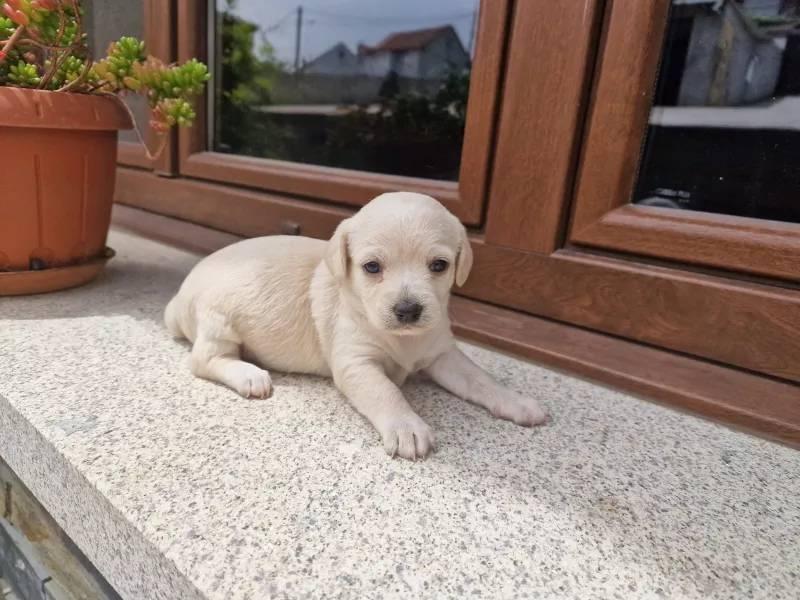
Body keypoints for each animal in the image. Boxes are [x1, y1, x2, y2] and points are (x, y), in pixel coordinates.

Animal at [165, 192, 546, 460]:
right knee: (204, 360)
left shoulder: (443, 355)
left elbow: (481, 380)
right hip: (219, 319)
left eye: (439, 265)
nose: (408, 310)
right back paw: (248, 374)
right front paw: (406, 425)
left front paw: (515, 401)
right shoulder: (356, 364)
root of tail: (178, 298)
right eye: (372, 267)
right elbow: (386, 391)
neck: (402, 340)